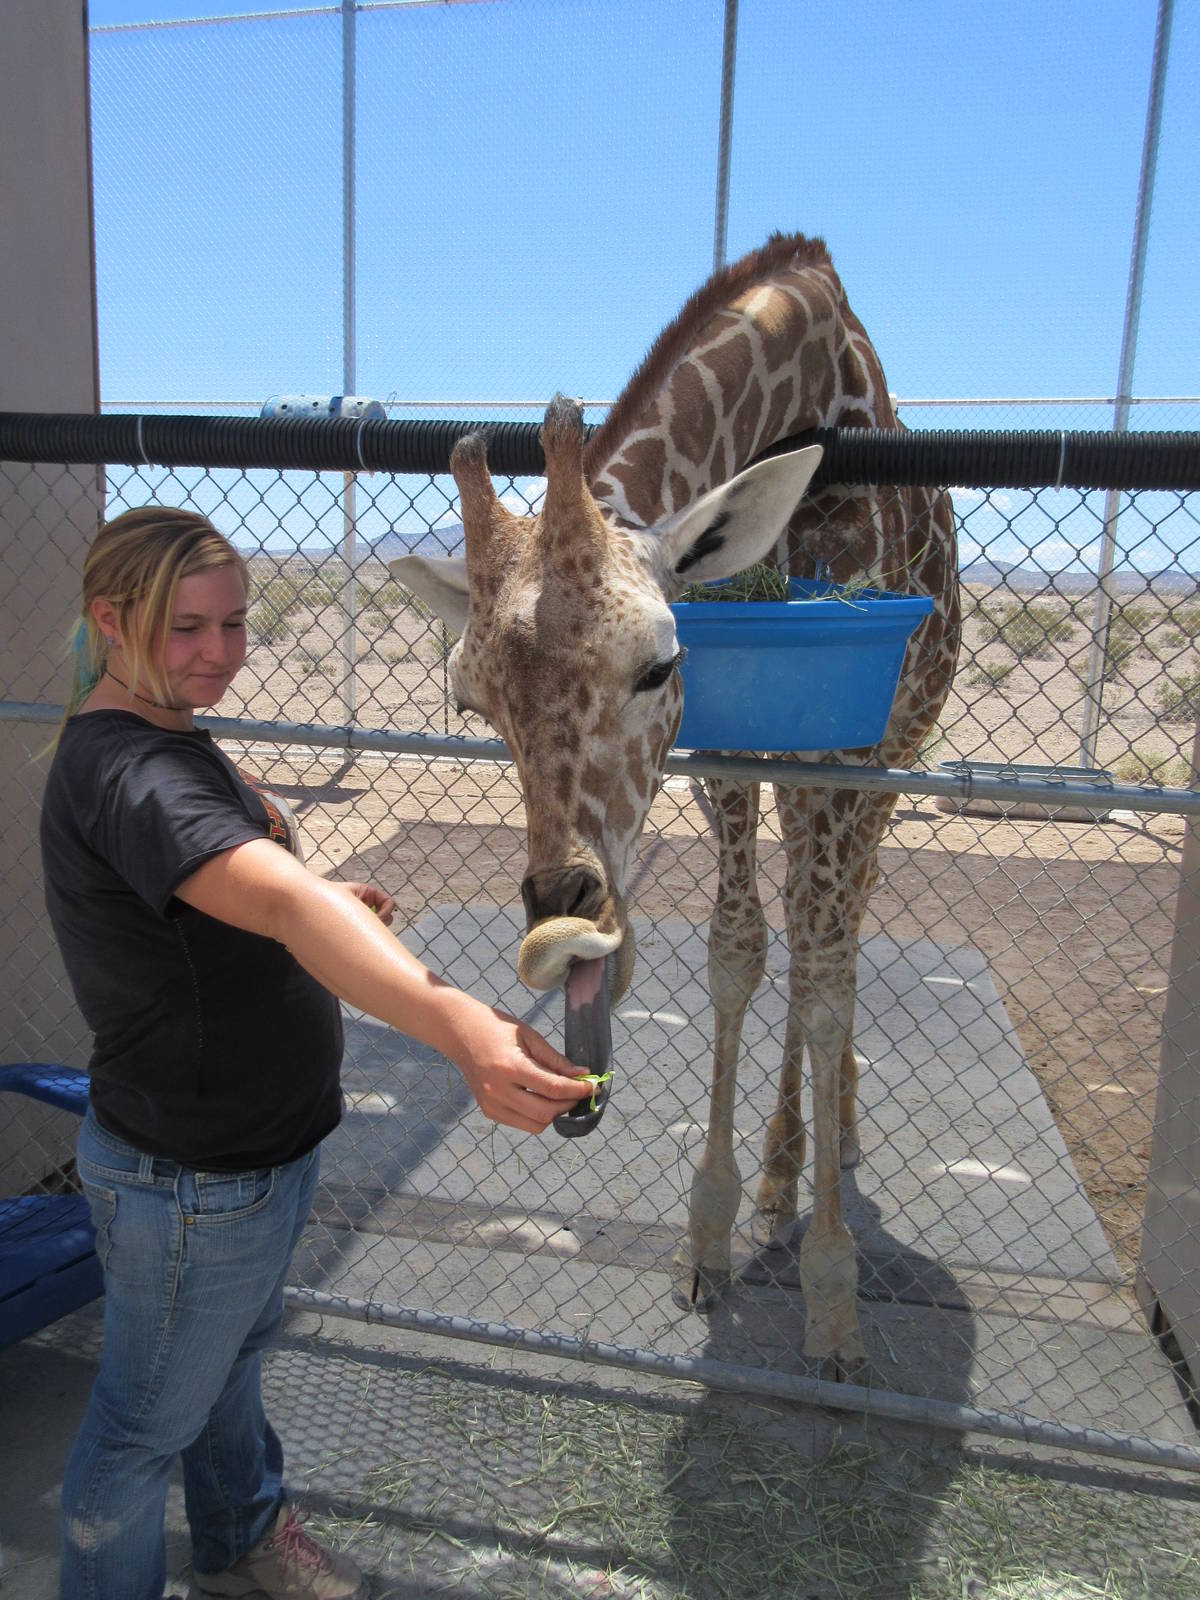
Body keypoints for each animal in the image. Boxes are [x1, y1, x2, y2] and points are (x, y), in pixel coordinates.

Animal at [391, 233, 960, 1377]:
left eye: (659, 666)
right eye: (472, 701)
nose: (572, 917)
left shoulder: (850, 755)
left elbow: (824, 981)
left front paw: (835, 1310)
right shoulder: (727, 758)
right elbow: (737, 951)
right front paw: (708, 1238)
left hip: (892, 758)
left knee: (838, 936)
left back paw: (836, 1142)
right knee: (799, 931)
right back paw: (783, 1175)